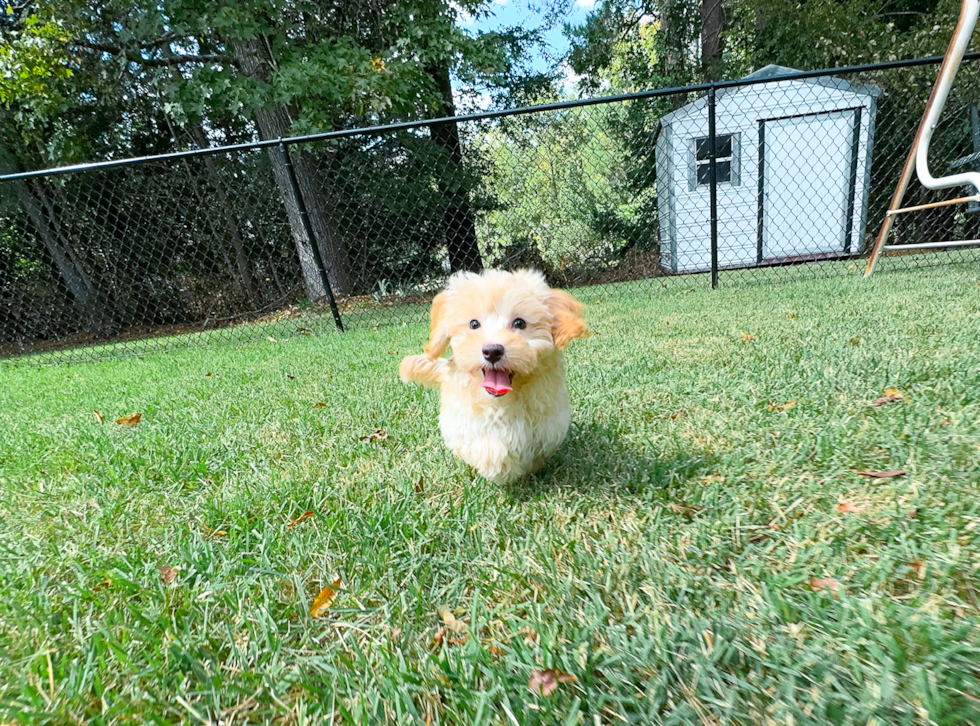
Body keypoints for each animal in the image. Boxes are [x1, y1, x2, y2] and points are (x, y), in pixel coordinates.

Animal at [400, 270, 584, 486]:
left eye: (519, 323)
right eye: (474, 324)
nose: (492, 350)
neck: (502, 401)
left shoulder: (548, 425)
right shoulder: (465, 421)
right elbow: (489, 449)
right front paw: (502, 470)